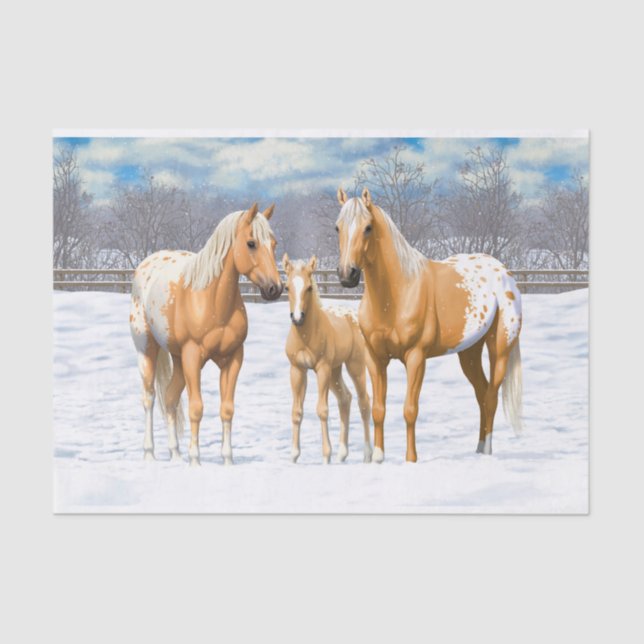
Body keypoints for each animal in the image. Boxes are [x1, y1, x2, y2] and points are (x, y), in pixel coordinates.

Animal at [129, 203, 283, 466]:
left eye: (273, 244)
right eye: (251, 243)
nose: (275, 288)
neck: (211, 300)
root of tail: (147, 264)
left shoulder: (233, 358)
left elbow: (227, 409)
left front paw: (228, 460)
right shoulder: (193, 356)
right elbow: (196, 408)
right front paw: (195, 461)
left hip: (178, 360)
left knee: (170, 399)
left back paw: (175, 455)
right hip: (147, 350)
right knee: (149, 398)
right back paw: (149, 454)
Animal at [283, 254, 373, 464]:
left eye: (309, 287)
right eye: (287, 287)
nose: (297, 317)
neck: (306, 335)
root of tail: (352, 316)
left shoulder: (321, 369)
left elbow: (322, 410)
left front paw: (326, 456)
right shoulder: (297, 370)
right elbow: (296, 412)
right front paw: (294, 455)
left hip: (354, 366)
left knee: (364, 402)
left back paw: (367, 455)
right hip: (335, 371)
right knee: (345, 399)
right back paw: (342, 454)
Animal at [335, 187, 523, 462]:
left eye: (367, 227)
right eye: (337, 227)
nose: (346, 275)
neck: (398, 293)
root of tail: (503, 270)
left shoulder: (416, 357)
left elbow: (410, 409)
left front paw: (411, 459)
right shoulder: (375, 358)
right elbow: (378, 408)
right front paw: (379, 457)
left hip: (500, 349)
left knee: (491, 396)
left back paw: (487, 451)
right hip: (469, 353)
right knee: (481, 393)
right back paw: (478, 448)